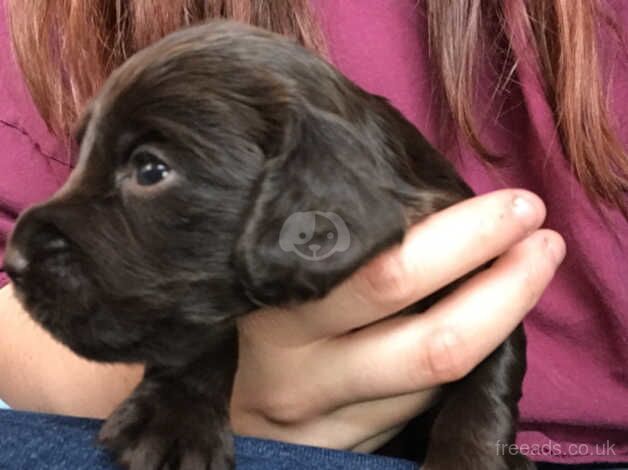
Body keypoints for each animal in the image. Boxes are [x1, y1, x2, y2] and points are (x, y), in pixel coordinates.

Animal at [4, 20, 536, 468]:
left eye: (150, 169)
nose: (14, 261)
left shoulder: (485, 284)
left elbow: (486, 378)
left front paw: (468, 459)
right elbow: (201, 335)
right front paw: (175, 419)